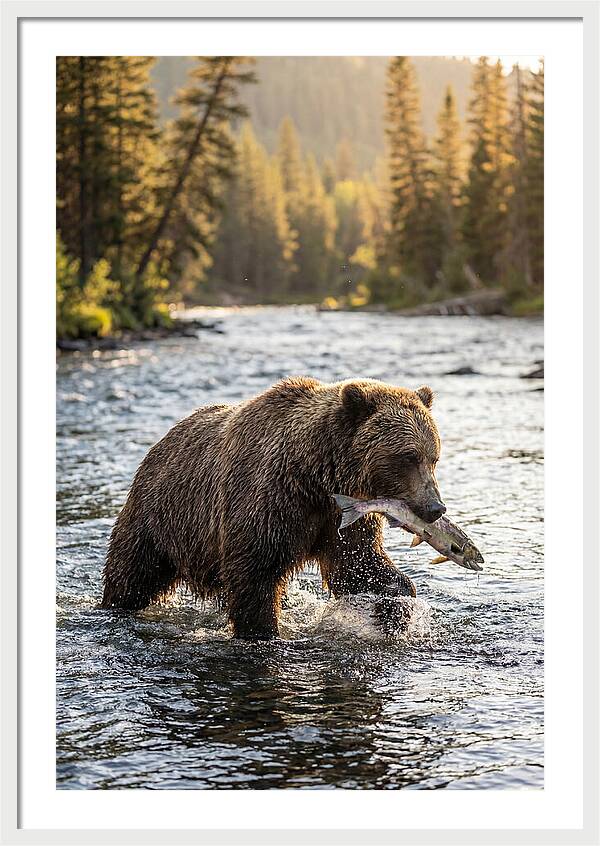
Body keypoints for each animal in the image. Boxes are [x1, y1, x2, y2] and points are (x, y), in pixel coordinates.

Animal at [101, 377, 446, 639]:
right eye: (408, 456)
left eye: (433, 456)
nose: (435, 507)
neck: (316, 476)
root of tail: (160, 442)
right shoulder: (269, 501)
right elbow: (254, 574)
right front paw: (262, 631)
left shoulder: (341, 516)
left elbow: (359, 564)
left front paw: (396, 606)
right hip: (160, 517)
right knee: (132, 573)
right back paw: (114, 606)